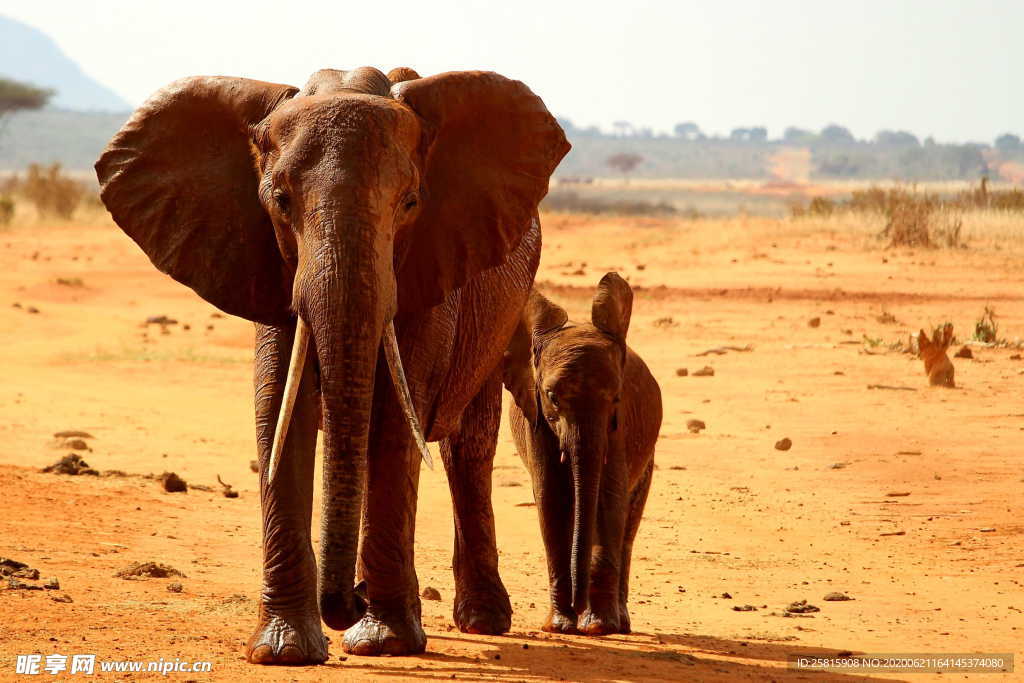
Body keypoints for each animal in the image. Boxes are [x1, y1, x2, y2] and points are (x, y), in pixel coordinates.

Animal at [95, 66, 569, 663]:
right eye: (279, 200)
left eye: (410, 202)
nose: (345, 602)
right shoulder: (265, 266)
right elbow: (279, 411)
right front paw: (283, 650)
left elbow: (393, 420)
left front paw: (384, 642)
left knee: (468, 448)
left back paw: (480, 619)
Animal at [503, 272, 663, 634]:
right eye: (552, 397)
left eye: (616, 397)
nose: (577, 606)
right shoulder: (535, 418)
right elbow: (551, 499)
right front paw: (560, 626)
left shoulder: (618, 427)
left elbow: (608, 497)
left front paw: (598, 627)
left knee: (628, 523)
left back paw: (619, 622)